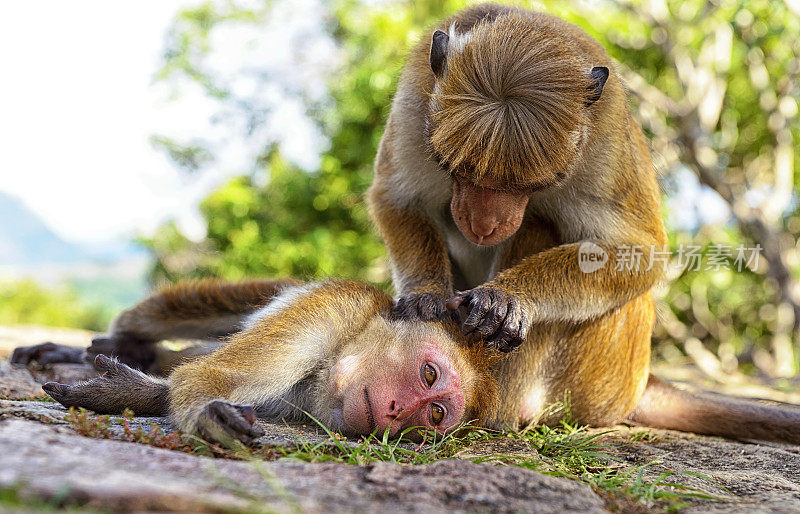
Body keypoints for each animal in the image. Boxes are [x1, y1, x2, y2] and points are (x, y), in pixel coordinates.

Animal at [370, 3, 668, 352]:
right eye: (456, 171)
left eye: (532, 185)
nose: (482, 226)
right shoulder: (414, 105)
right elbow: (397, 199)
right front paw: (425, 290)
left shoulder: (606, 150)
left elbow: (636, 251)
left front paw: (508, 295)